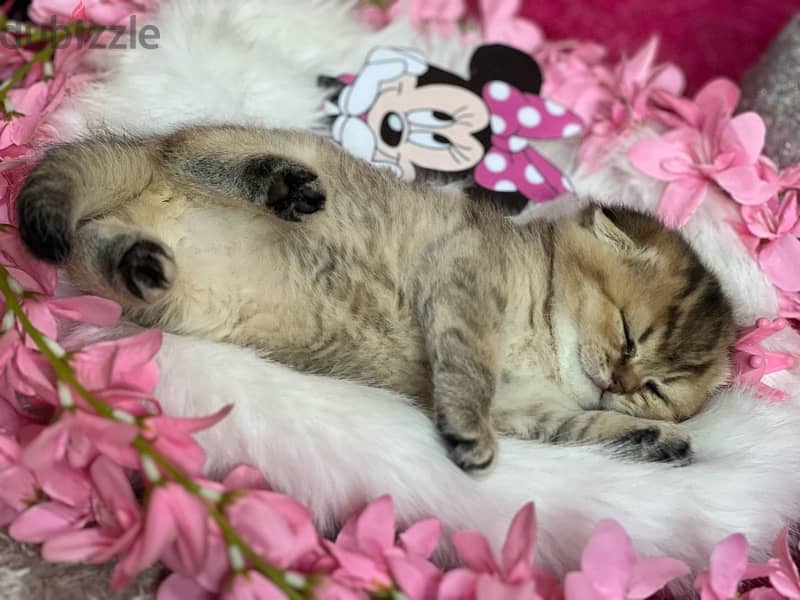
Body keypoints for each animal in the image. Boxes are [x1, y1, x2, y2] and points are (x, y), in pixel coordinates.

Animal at [15, 127, 736, 474]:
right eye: (628, 330)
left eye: (659, 387)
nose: (620, 381)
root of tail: (145, 161)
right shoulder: (464, 273)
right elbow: (469, 366)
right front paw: (469, 432)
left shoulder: (530, 407)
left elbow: (578, 426)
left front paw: (653, 438)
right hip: (249, 148)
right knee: (210, 165)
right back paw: (277, 187)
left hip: (158, 290)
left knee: (102, 242)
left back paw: (141, 262)